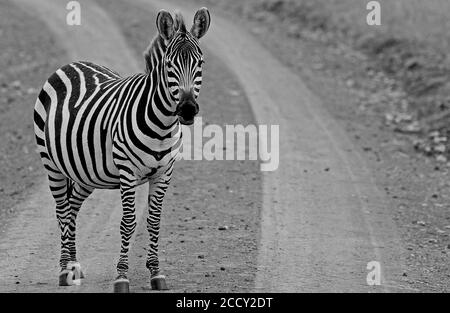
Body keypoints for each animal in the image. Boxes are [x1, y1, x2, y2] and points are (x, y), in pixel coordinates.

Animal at [32, 8, 211, 292]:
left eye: (200, 63)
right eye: (169, 65)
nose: (187, 109)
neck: (162, 125)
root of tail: (71, 64)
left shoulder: (164, 173)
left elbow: (154, 221)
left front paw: (156, 273)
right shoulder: (127, 172)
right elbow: (128, 224)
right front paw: (122, 276)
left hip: (86, 172)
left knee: (72, 208)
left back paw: (74, 266)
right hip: (51, 164)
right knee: (62, 209)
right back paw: (64, 270)